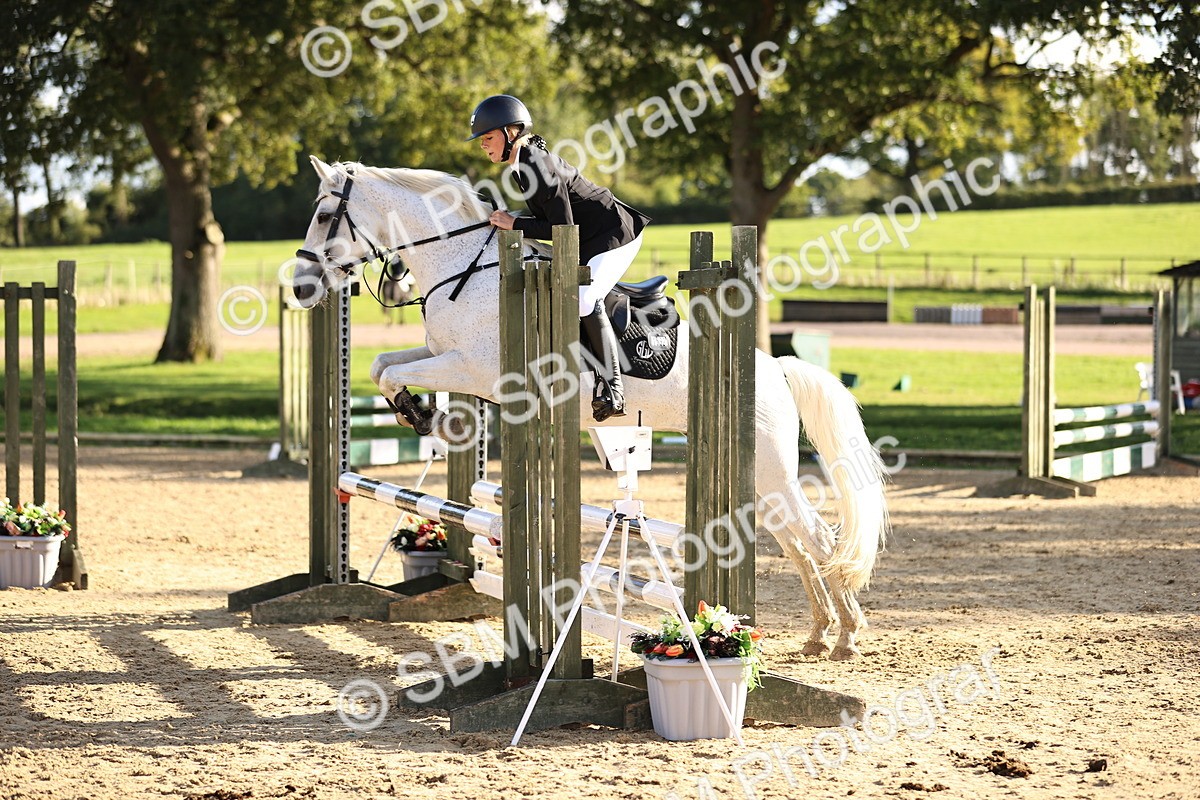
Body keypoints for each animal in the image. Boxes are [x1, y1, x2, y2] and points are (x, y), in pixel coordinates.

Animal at [291, 155, 889, 660]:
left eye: (322, 215)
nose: (299, 288)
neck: (463, 266)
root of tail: (774, 367)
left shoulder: (472, 369)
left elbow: (393, 373)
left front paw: (422, 414)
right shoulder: (443, 357)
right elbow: (381, 366)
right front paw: (419, 413)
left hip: (769, 466)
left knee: (818, 537)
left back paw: (846, 637)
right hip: (756, 476)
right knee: (796, 542)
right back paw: (818, 634)